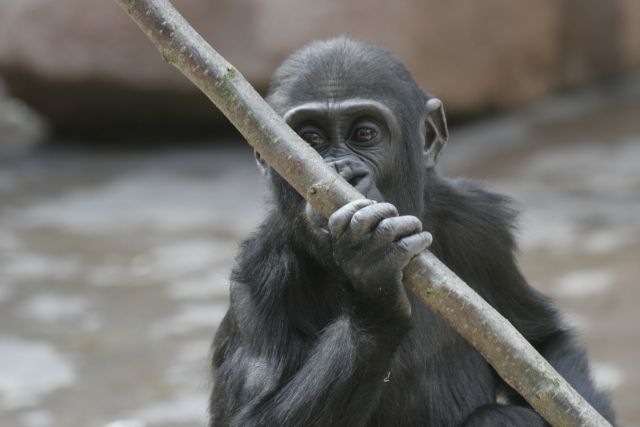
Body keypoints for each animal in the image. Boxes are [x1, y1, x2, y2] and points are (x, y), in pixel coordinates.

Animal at [209, 37, 616, 427]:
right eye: (310, 139)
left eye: (365, 133)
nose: (341, 172)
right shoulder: (259, 275)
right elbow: (251, 417)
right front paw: (373, 279)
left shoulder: (482, 226)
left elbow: (540, 345)